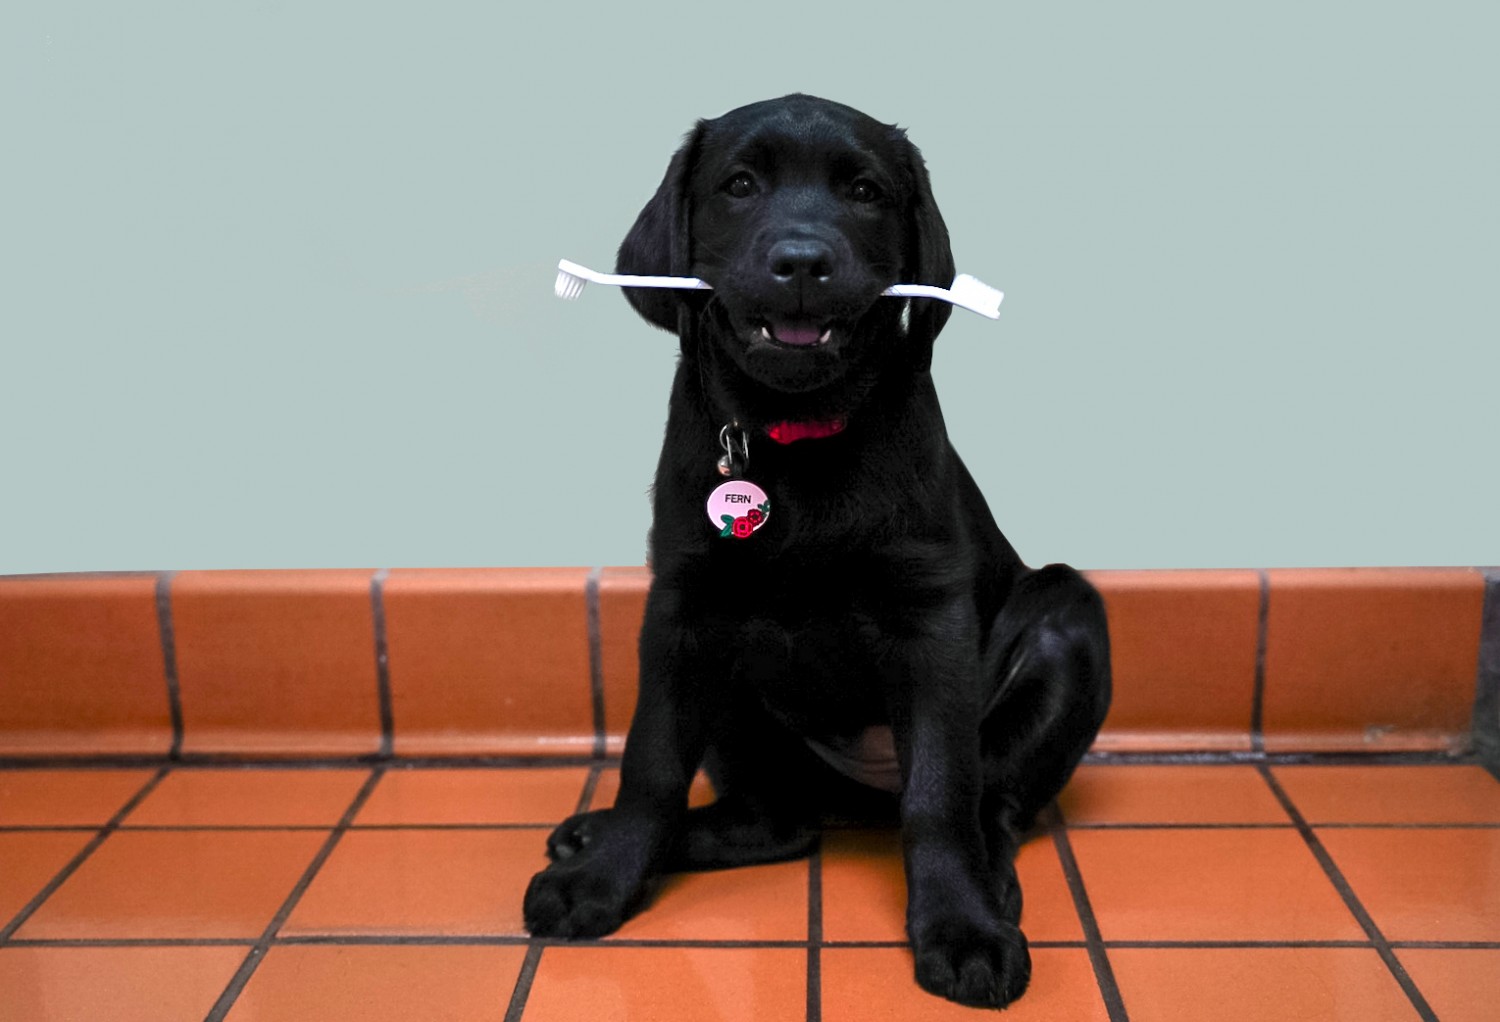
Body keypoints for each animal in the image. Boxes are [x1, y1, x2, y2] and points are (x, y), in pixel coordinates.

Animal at [522, 97, 1110, 1014]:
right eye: (739, 185)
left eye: (865, 191)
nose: (802, 261)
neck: (792, 437)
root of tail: (851, 795)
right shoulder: (683, 610)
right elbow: (651, 763)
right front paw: (604, 877)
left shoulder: (930, 618)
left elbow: (940, 794)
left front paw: (962, 927)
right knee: (777, 818)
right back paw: (599, 836)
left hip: (1065, 620)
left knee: (990, 800)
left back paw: (991, 884)